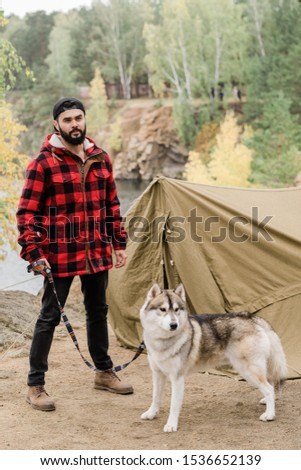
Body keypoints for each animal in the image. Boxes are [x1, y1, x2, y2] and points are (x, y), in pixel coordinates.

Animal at [139, 282, 288, 434]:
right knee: (270, 385)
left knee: (269, 388)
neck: (163, 340)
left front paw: (171, 425)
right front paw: (151, 414)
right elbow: (155, 397)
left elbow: (174, 405)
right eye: (163, 309)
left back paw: (269, 414)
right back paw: (266, 401)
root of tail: (250, 317)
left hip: (248, 371)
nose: (174, 325)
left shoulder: (177, 378)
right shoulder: (157, 374)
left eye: (176, 310)